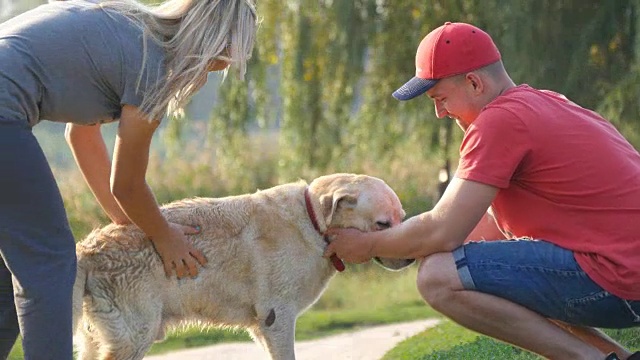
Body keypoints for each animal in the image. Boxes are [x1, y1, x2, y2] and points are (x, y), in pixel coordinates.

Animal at [74, 173, 416, 358]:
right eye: (382, 224)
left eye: (401, 217)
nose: (411, 256)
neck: (312, 222)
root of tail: (87, 250)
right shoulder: (277, 318)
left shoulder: (261, 327)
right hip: (135, 335)